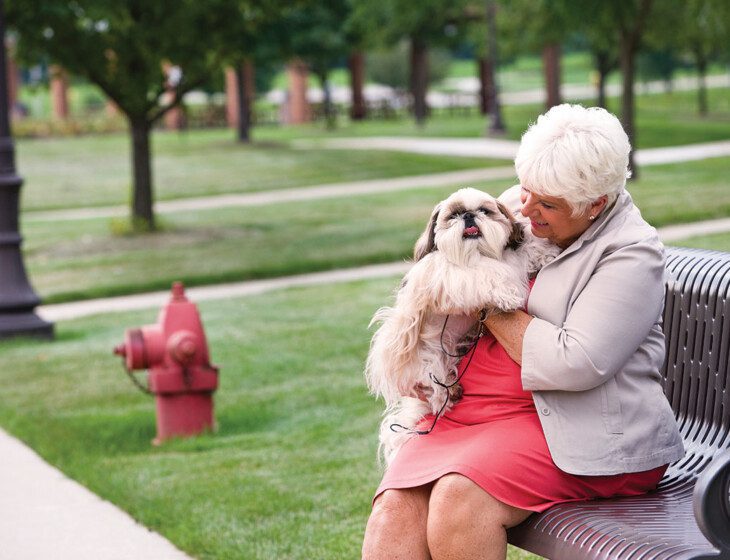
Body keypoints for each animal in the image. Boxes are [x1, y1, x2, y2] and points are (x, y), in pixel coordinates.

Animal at [362, 188, 556, 464]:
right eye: (453, 215)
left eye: (484, 210)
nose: (468, 216)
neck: (477, 252)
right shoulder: (451, 274)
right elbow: (486, 273)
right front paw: (506, 294)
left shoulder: (513, 258)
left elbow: (523, 251)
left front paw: (545, 251)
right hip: (428, 359)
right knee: (434, 391)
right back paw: (448, 393)